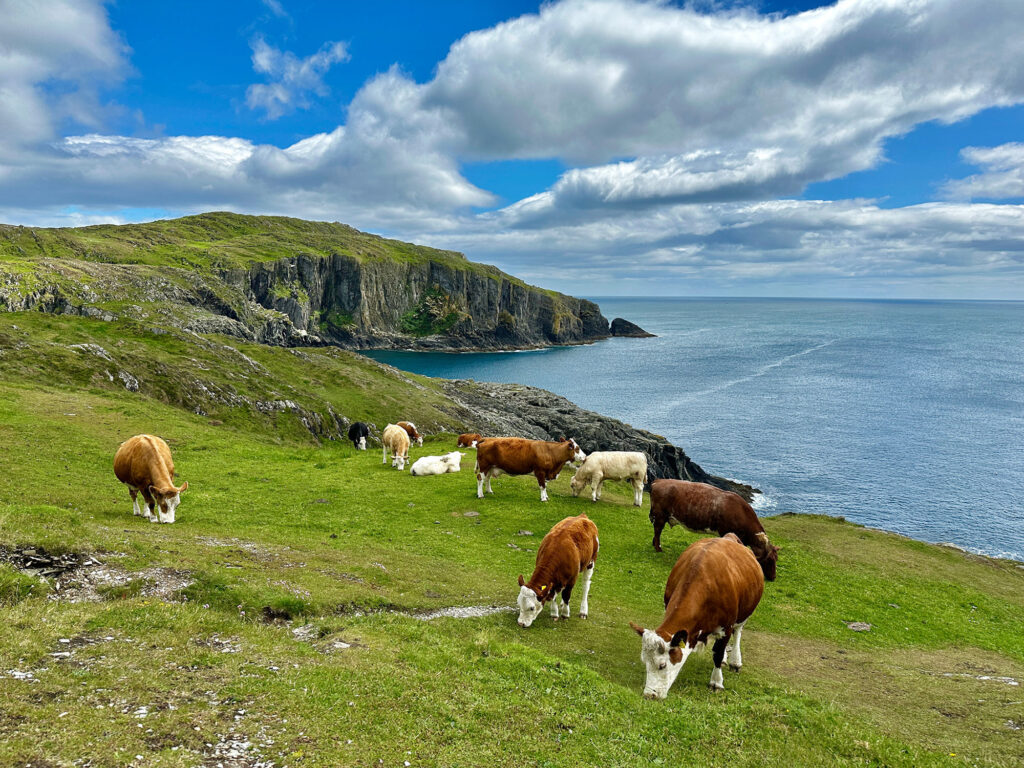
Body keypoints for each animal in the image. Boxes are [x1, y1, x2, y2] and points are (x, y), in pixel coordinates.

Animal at [626, 532, 765, 700]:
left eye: (662, 665)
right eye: (644, 661)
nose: (649, 695)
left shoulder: (727, 626)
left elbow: (718, 653)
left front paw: (716, 682)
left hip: (744, 613)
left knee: (737, 632)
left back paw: (735, 661)